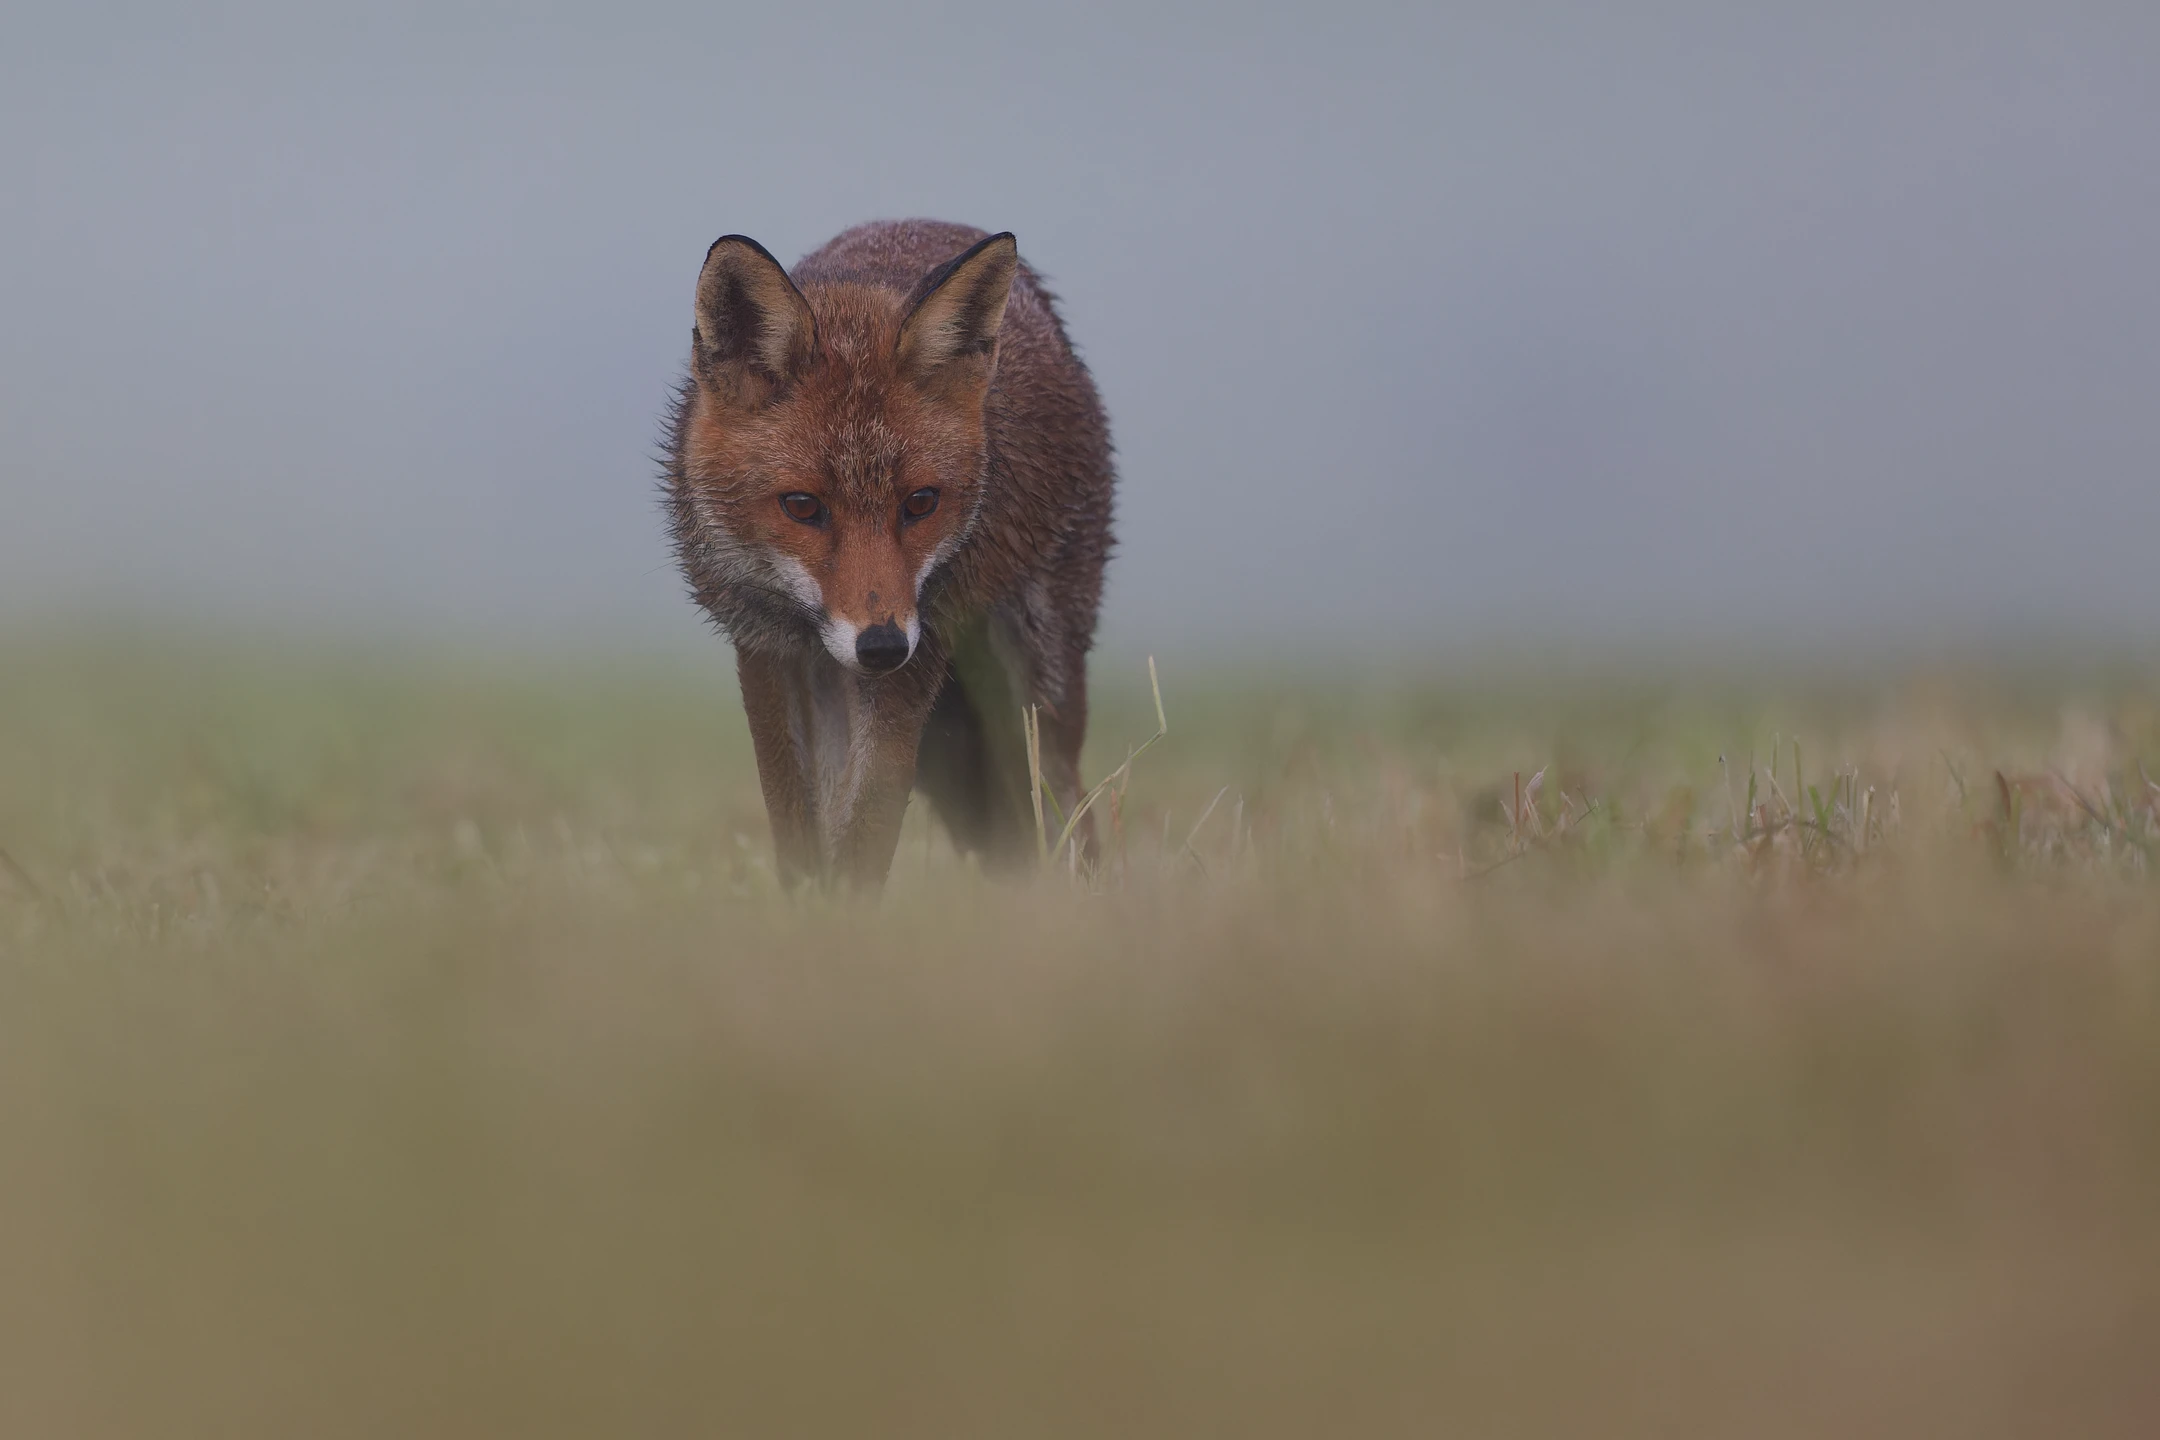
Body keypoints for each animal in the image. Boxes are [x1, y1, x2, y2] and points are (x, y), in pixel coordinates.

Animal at [664, 220, 1115, 887]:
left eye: (921, 502)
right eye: (802, 506)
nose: (880, 646)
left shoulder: (918, 652)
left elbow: (864, 835)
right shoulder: (765, 649)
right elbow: (803, 836)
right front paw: (810, 909)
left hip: (1035, 682)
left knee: (1065, 811)